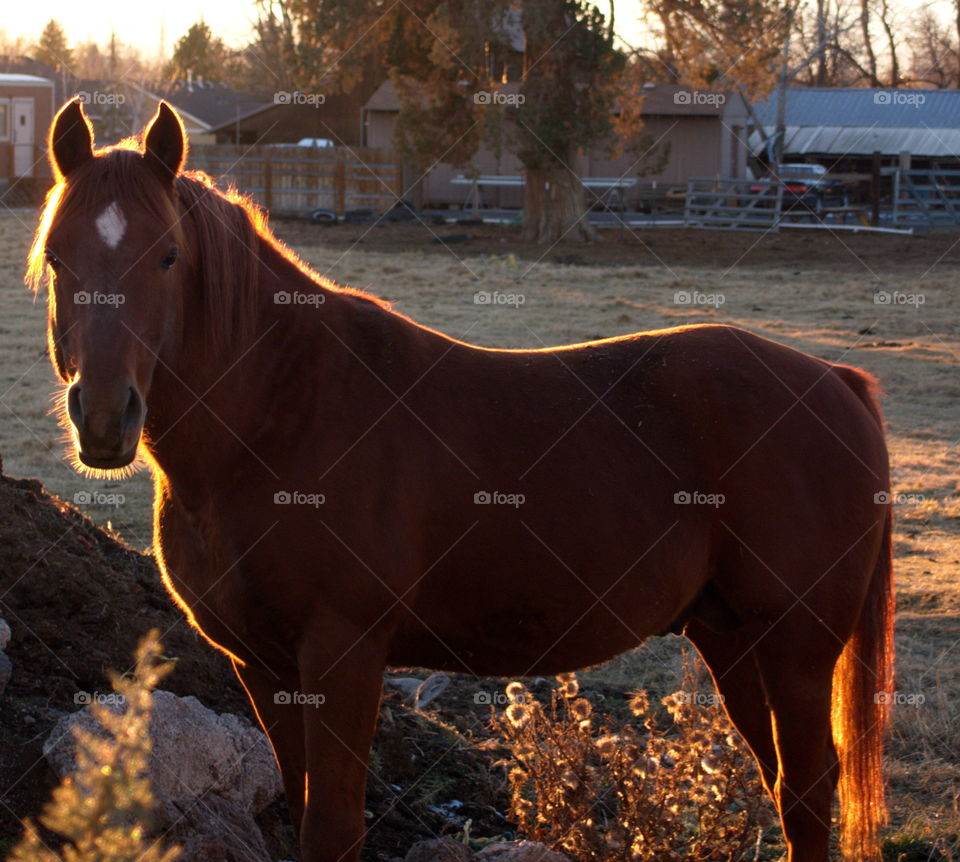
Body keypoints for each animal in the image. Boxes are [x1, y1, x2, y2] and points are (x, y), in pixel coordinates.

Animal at [30, 98, 896, 860]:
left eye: (167, 257)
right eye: (57, 258)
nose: (104, 418)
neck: (279, 417)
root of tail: (836, 382)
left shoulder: (345, 654)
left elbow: (331, 830)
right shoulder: (264, 667)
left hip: (795, 647)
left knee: (809, 791)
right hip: (732, 637)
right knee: (787, 787)